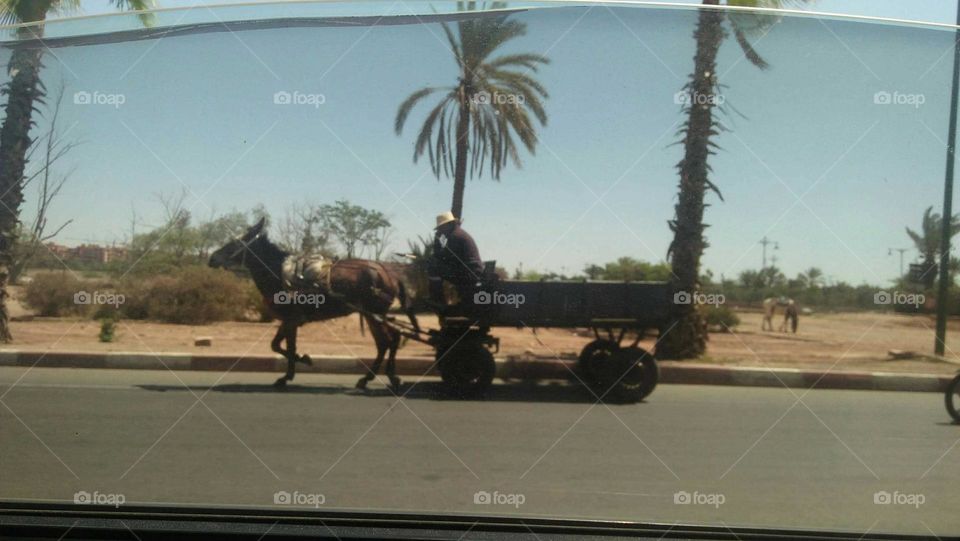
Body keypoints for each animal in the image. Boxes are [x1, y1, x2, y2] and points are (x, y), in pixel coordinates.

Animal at [208, 217, 418, 390]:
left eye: (236, 242)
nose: (212, 258)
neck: (279, 273)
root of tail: (389, 274)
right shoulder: (289, 321)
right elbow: (280, 346)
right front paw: (296, 367)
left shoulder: (291, 320)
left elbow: (284, 347)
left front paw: (294, 369)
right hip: (373, 315)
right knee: (390, 341)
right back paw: (381, 377)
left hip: (373, 313)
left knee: (387, 341)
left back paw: (376, 378)